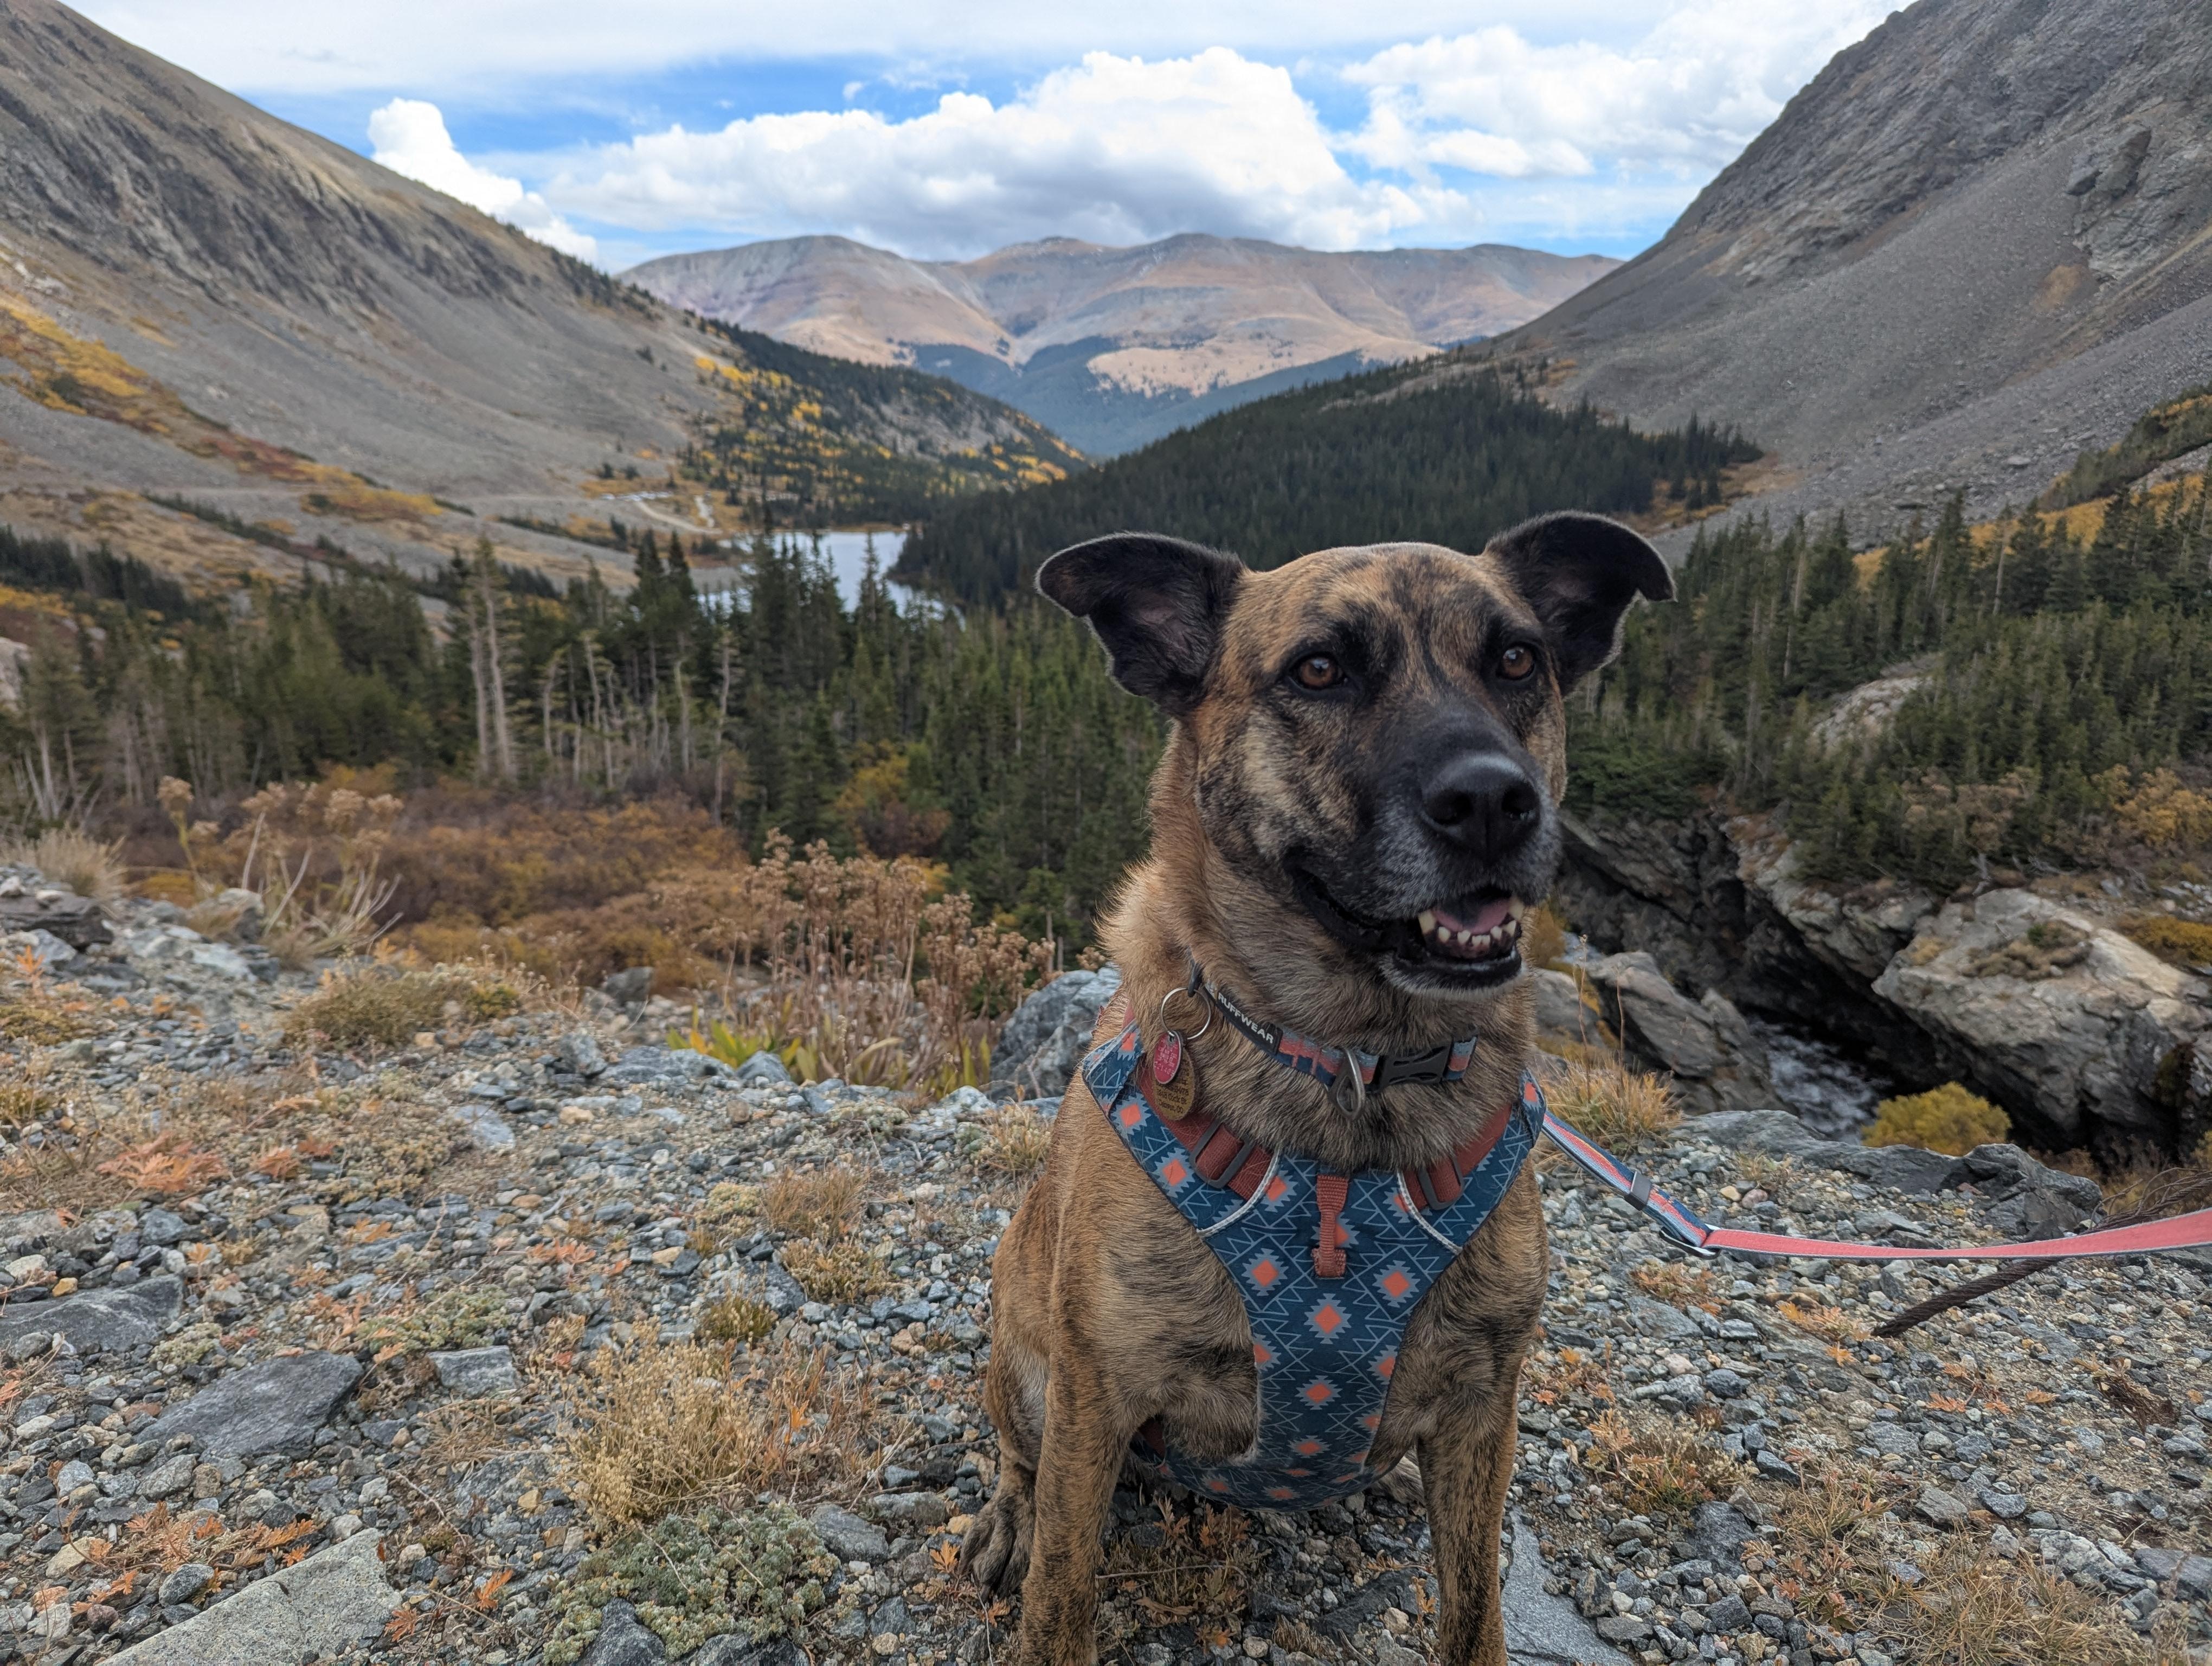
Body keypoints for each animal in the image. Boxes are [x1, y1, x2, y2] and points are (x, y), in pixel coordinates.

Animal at [961, 513, 1673, 1666]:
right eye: (1321, 669)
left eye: (1518, 660)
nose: (1492, 801)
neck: (1355, 1071)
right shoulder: (1096, 1394)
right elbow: (1062, 1596)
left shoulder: (1483, 1407)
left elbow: (1473, 1608)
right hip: (1028, 1363)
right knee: (1021, 1461)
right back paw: (1009, 1519)